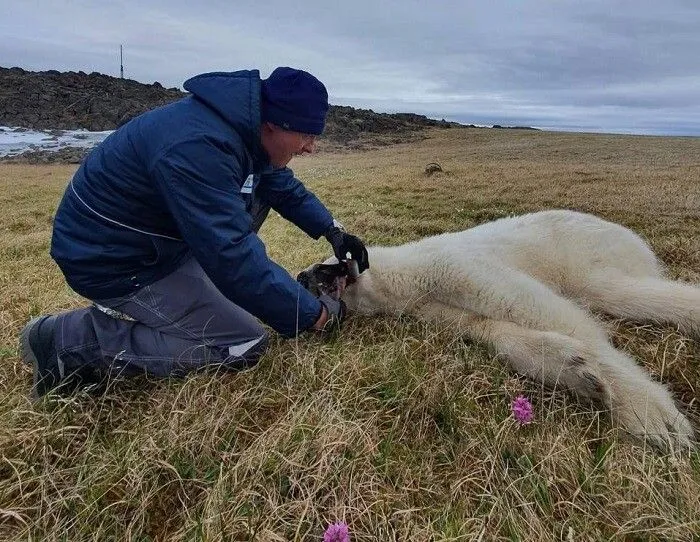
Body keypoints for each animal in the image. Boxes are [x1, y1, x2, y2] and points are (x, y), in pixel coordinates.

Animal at [298, 210, 696, 452]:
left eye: (323, 266)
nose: (301, 276)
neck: (403, 276)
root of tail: (634, 239)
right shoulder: (431, 306)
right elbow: (488, 328)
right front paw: (575, 370)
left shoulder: (452, 267)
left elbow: (533, 306)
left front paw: (650, 414)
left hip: (588, 250)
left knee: (614, 289)